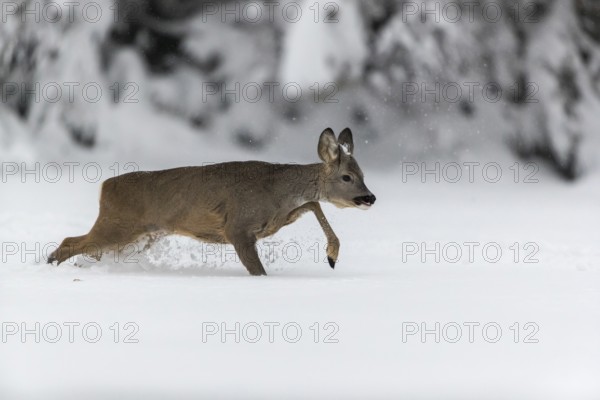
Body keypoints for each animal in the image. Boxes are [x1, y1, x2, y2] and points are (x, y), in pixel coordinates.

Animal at [49, 128, 376, 276]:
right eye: (347, 176)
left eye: (363, 174)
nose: (370, 197)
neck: (277, 192)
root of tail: (105, 187)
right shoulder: (238, 227)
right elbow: (258, 270)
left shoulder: (276, 219)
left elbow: (313, 204)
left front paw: (332, 255)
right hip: (118, 225)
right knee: (70, 242)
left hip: (141, 235)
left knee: (83, 247)